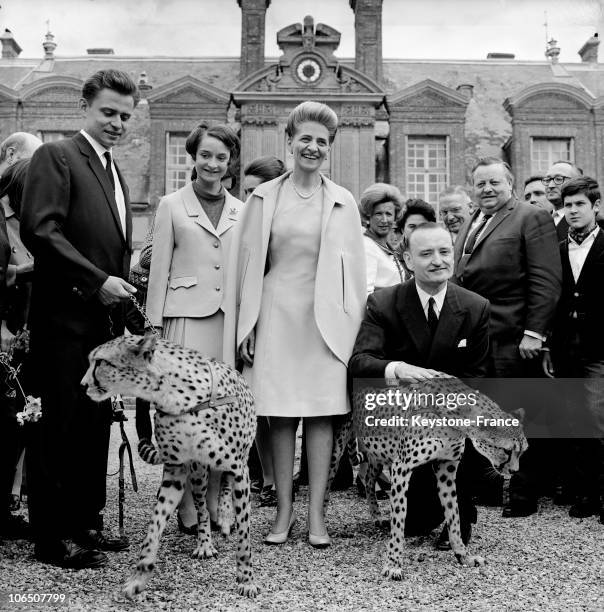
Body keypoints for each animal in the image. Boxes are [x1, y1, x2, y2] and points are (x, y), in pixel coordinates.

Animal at [82, 334, 258, 596]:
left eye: (101, 362)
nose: (83, 384)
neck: (177, 396)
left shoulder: (240, 469)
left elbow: (245, 536)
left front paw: (246, 579)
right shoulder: (176, 471)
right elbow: (155, 525)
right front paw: (139, 575)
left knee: (225, 486)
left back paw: (226, 517)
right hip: (198, 472)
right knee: (202, 507)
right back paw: (205, 542)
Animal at [328, 372, 528, 580]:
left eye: (522, 451)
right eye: (506, 451)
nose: (514, 471)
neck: (455, 417)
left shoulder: (446, 469)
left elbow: (454, 516)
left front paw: (463, 555)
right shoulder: (402, 467)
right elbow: (399, 517)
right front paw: (393, 563)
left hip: (378, 452)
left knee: (368, 479)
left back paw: (376, 515)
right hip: (339, 448)